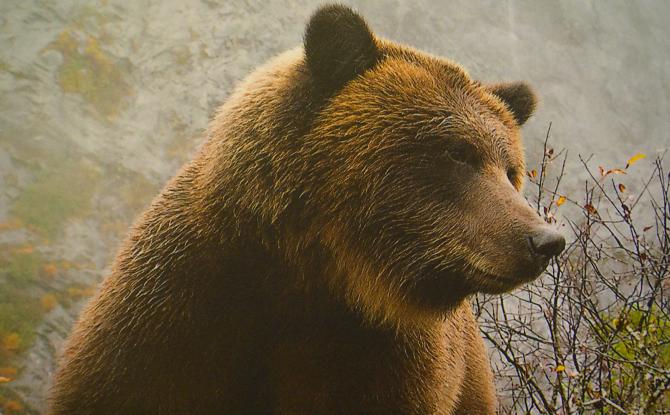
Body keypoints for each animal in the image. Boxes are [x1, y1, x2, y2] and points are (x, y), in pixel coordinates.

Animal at [50, 4, 568, 415]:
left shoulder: (382, 362)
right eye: (458, 152)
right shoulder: (171, 318)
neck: (314, 274)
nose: (545, 240)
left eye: (510, 170)